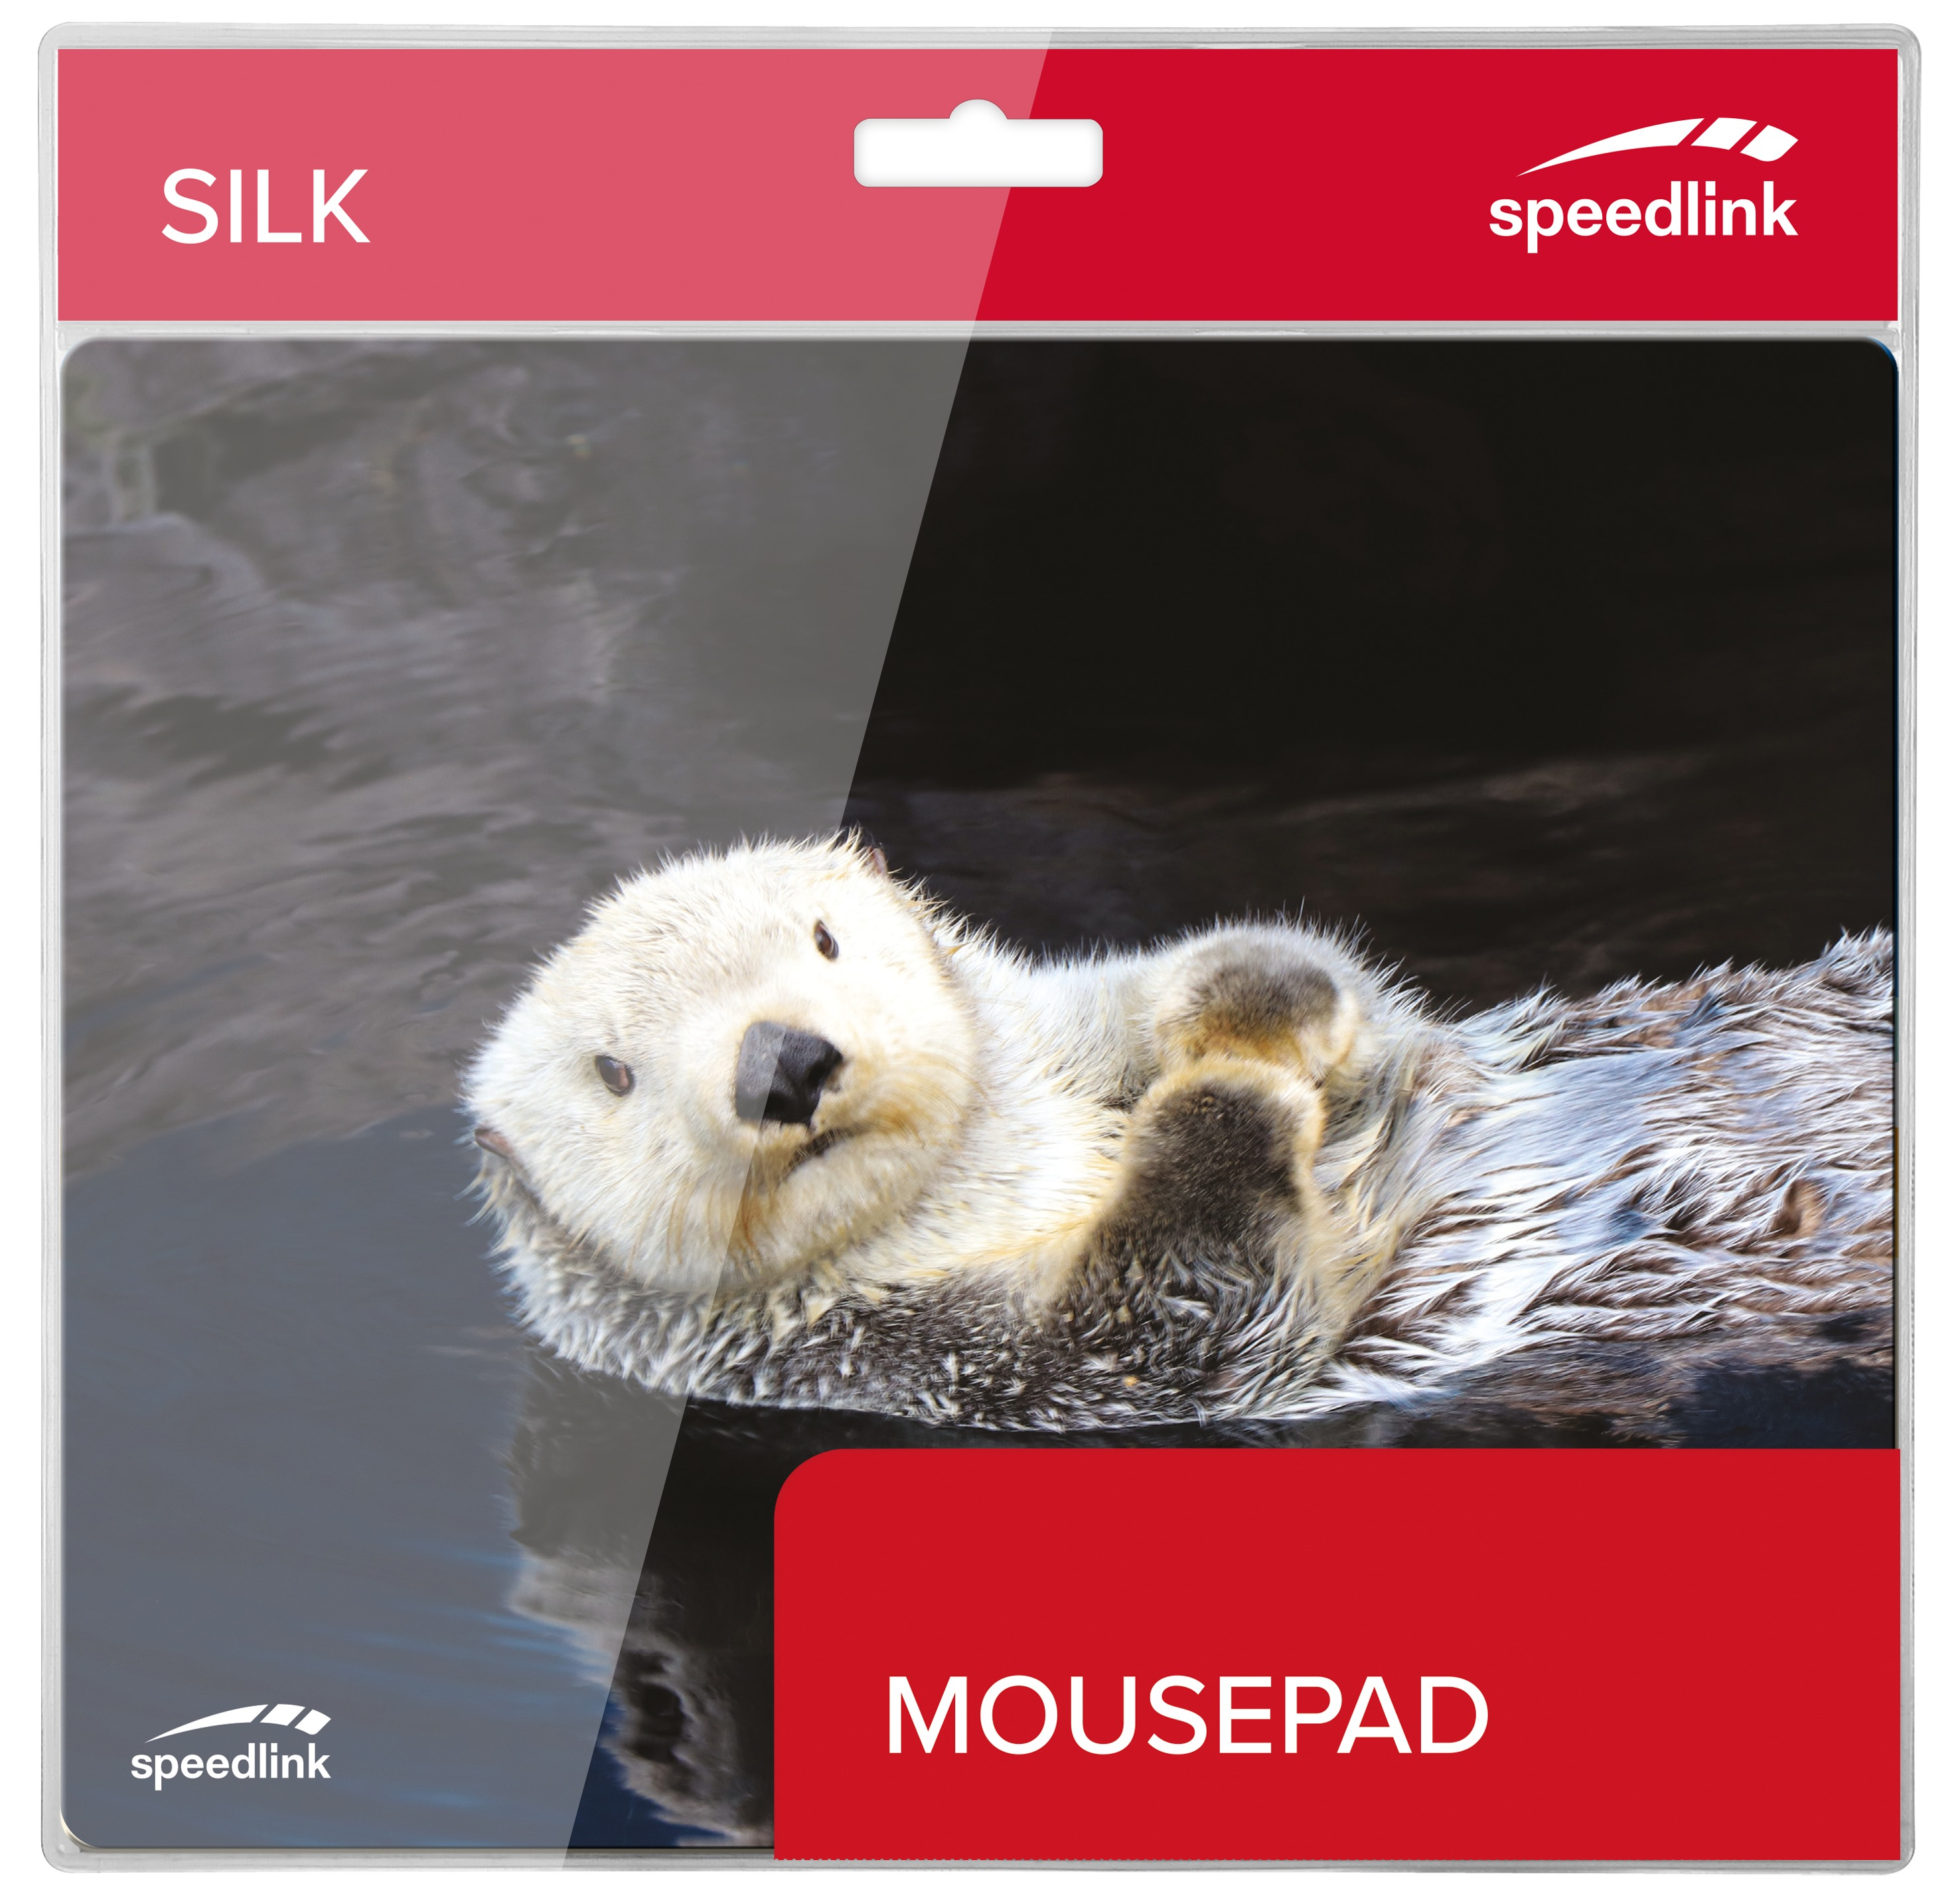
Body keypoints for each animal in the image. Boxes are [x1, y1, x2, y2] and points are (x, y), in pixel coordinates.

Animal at [465, 835, 1893, 1434]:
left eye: (821, 940)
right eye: (613, 1071)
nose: (787, 1061)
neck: (1001, 1172)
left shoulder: (1068, 1027)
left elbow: (1331, 993)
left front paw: (1247, 1009)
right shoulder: (922, 1358)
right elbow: (1187, 1316)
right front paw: (1223, 1100)